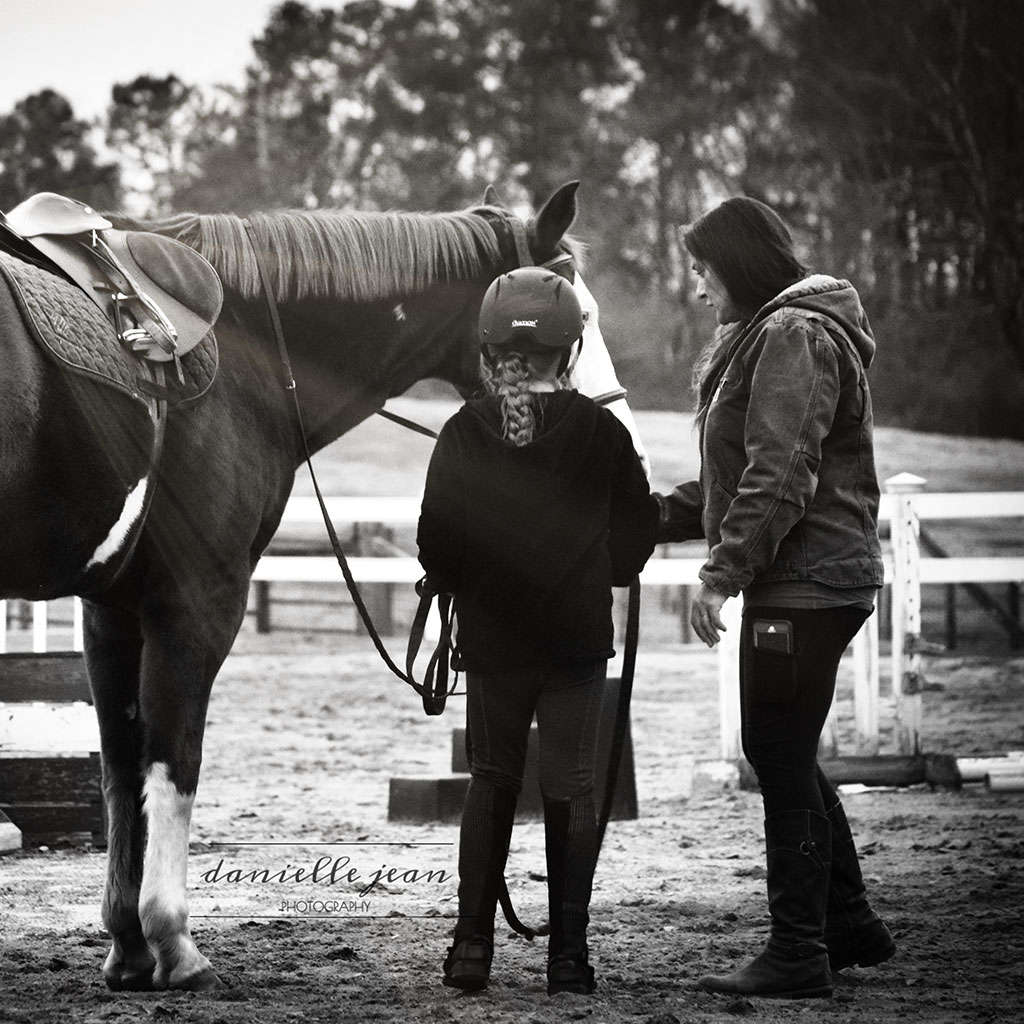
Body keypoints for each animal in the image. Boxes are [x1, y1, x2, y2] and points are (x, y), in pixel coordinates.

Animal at [0, 182, 638, 991]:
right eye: (582, 321)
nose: (622, 435)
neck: (246, 352)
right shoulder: (196, 602)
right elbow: (174, 762)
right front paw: (174, 943)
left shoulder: (112, 612)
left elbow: (122, 772)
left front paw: (128, 948)